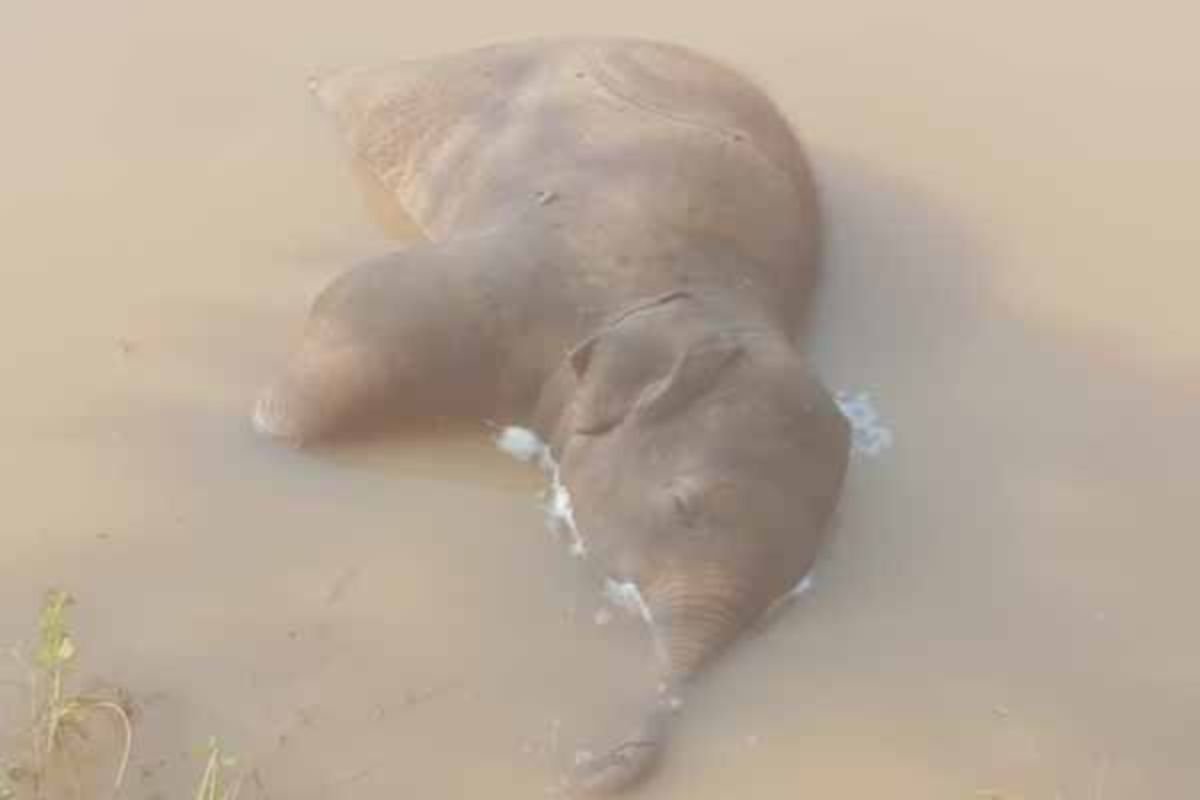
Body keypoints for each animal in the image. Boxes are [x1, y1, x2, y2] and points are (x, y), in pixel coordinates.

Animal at [253, 37, 851, 794]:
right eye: (682, 505)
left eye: (794, 581)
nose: (591, 766)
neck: (702, 299)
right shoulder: (534, 276)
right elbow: (356, 304)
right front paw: (265, 427)